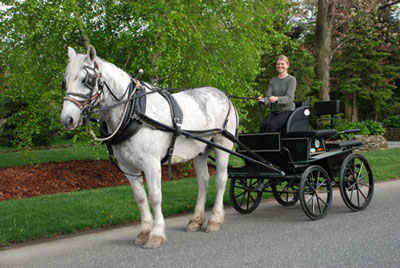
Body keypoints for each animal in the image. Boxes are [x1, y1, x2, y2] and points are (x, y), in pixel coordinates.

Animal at [59, 45, 238, 247]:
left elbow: (154, 196)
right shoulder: (127, 166)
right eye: (64, 82)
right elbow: (140, 197)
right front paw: (145, 231)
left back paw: (215, 220)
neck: (134, 112)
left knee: (221, 179)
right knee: (203, 181)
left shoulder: (151, 163)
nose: (67, 119)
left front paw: (156, 234)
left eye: (87, 80)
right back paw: (195, 220)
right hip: (200, 151)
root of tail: (224, 95)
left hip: (222, 145)